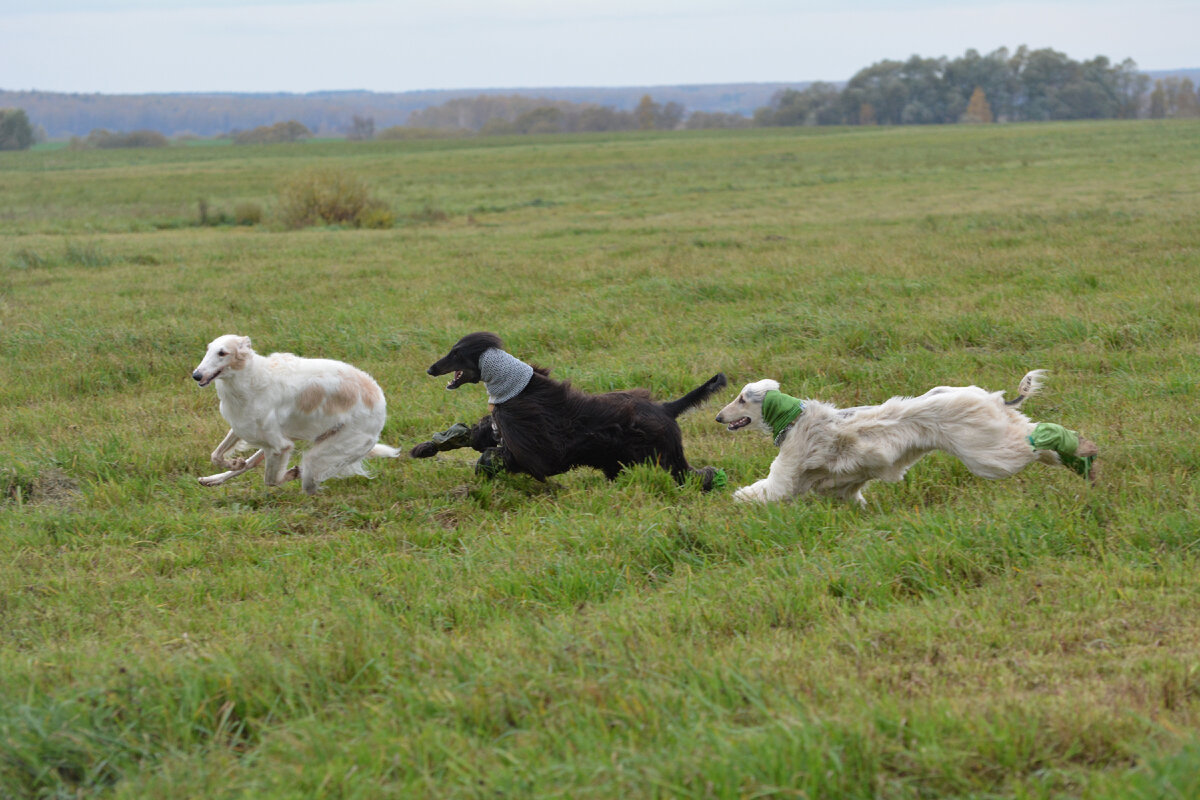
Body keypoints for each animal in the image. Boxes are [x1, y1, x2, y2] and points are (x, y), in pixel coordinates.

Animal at [194, 333, 400, 494]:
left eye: (222, 353)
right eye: (208, 349)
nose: (196, 375)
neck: (249, 379)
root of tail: (380, 399)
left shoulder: (281, 446)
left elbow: (271, 480)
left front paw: (291, 473)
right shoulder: (243, 427)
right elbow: (216, 455)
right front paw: (235, 463)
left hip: (325, 451)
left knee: (309, 481)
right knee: (255, 463)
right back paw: (212, 479)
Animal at [417, 331, 724, 489]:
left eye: (456, 353)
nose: (430, 369)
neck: (517, 388)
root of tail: (666, 409)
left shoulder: (536, 447)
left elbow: (494, 457)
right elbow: (483, 442)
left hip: (665, 455)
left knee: (697, 475)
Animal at [715, 371, 1099, 506]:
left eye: (741, 398)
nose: (718, 417)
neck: (794, 420)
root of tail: (990, 397)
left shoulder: (788, 470)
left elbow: (768, 490)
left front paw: (738, 499)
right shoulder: (842, 487)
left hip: (986, 452)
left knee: (1036, 443)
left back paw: (1082, 451)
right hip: (998, 432)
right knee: (1037, 438)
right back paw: (1082, 461)